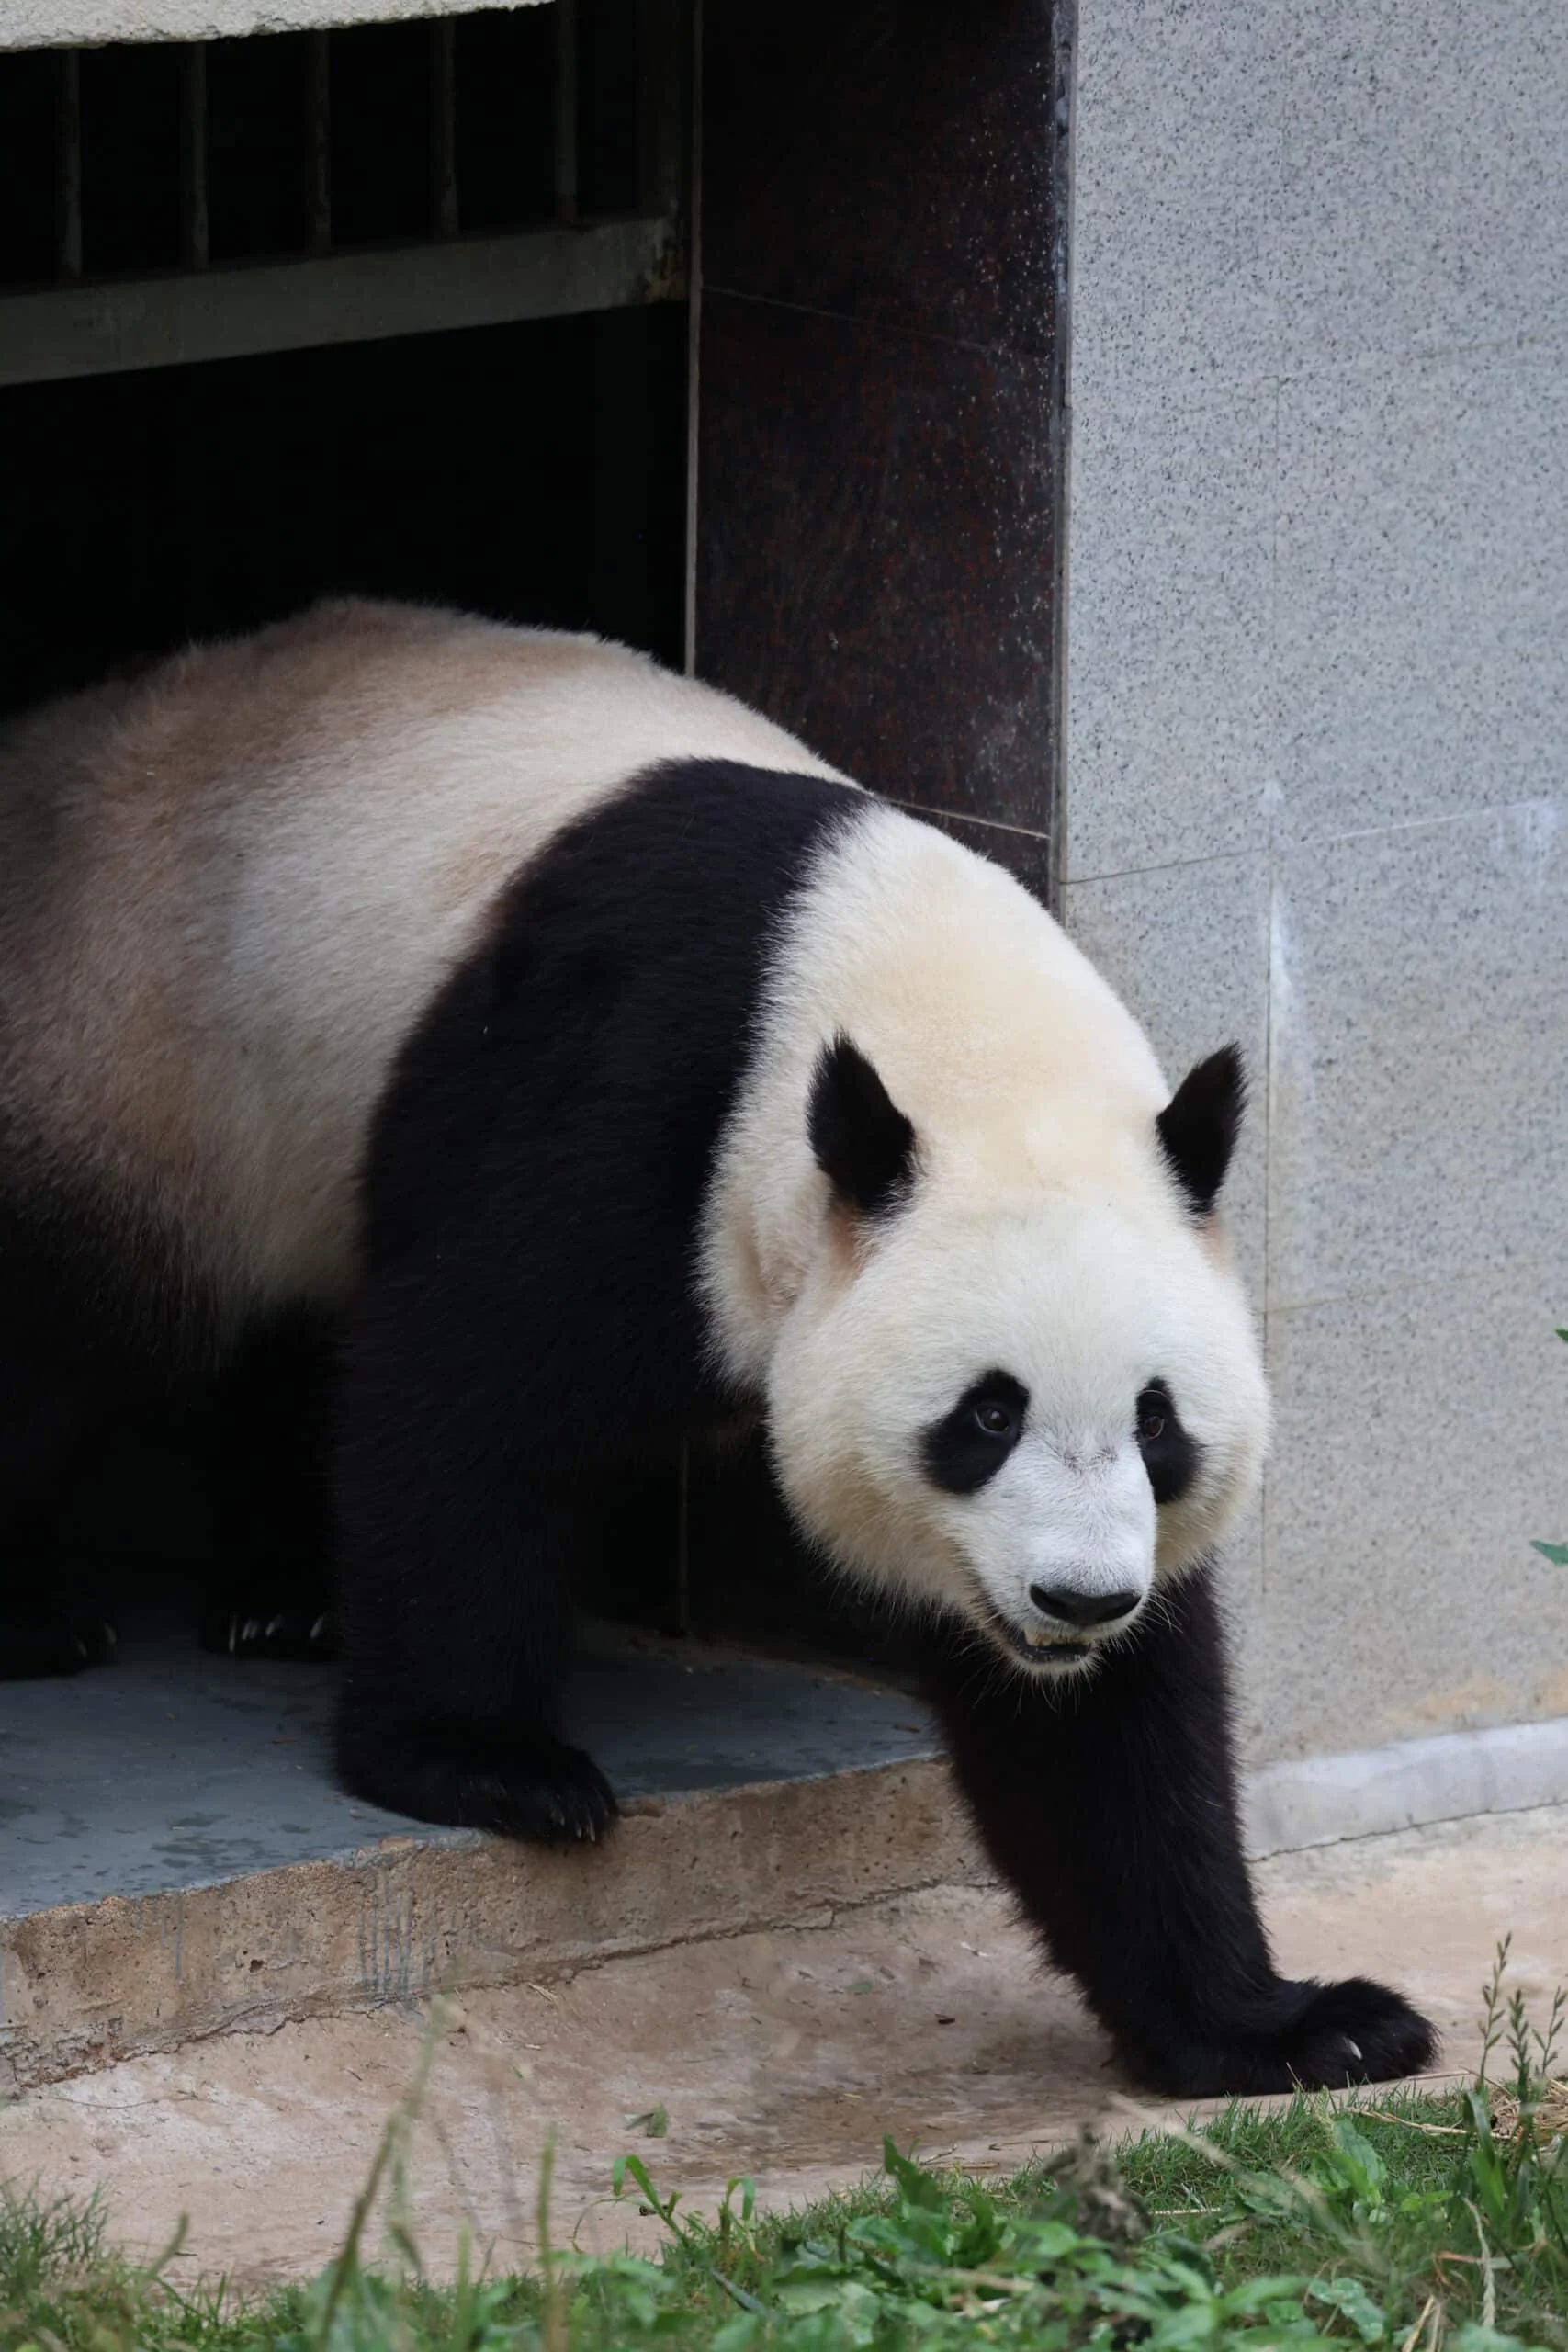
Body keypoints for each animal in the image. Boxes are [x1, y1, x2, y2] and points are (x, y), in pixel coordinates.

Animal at [0, 598, 1435, 2097]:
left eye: (1159, 1424)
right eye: (984, 1415)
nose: (1077, 1600)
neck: (930, 1021)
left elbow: (1112, 1738)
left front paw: (1290, 2025)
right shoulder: (623, 1095)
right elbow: (461, 1403)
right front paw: (487, 1764)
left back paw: (283, 1597)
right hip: (132, 1054)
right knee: (70, 1331)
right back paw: (45, 1615)